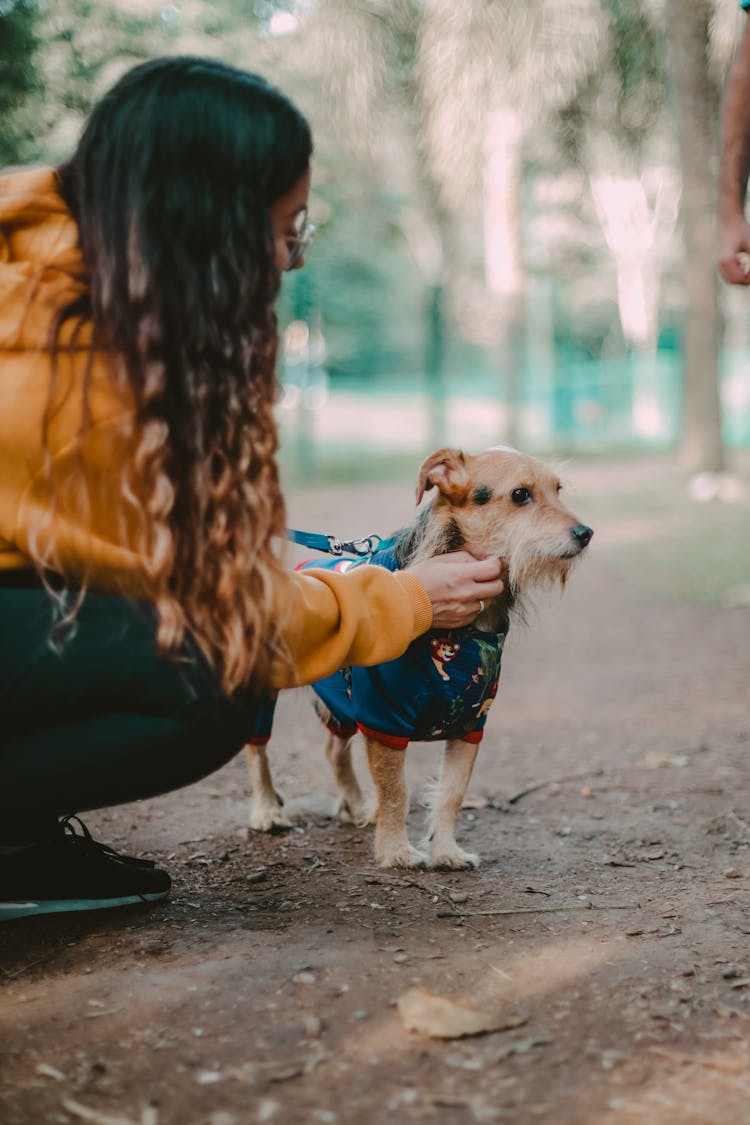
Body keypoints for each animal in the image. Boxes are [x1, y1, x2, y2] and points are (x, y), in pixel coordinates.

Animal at [246, 447, 593, 868]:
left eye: (558, 490)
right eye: (521, 495)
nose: (586, 534)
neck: (464, 636)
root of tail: (300, 567)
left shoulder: (471, 722)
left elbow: (452, 794)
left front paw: (445, 851)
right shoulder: (383, 719)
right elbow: (397, 792)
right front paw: (396, 852)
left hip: (342, 702)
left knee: (333, 751)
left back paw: (356, 806)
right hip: (262, 690)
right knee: (257, 749)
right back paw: (267, 810)